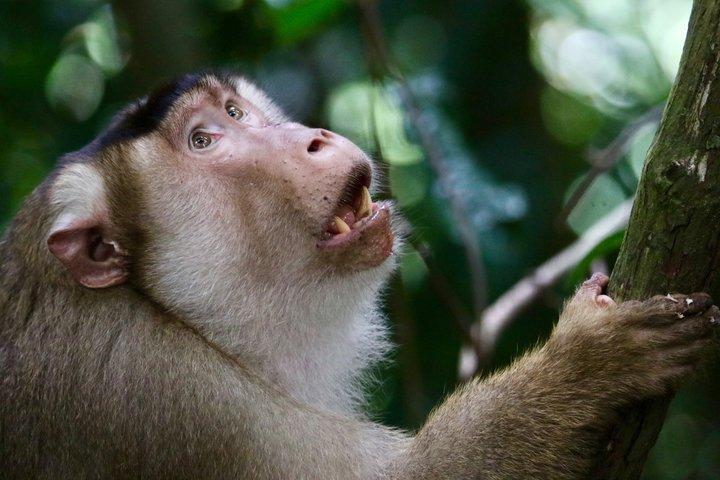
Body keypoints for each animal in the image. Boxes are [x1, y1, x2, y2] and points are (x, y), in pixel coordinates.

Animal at [0, 72, 717, 480]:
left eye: (234, 112)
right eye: (202, 141)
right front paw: (587, 362)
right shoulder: (171, 402)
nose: (312, 137)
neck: (161, 305)